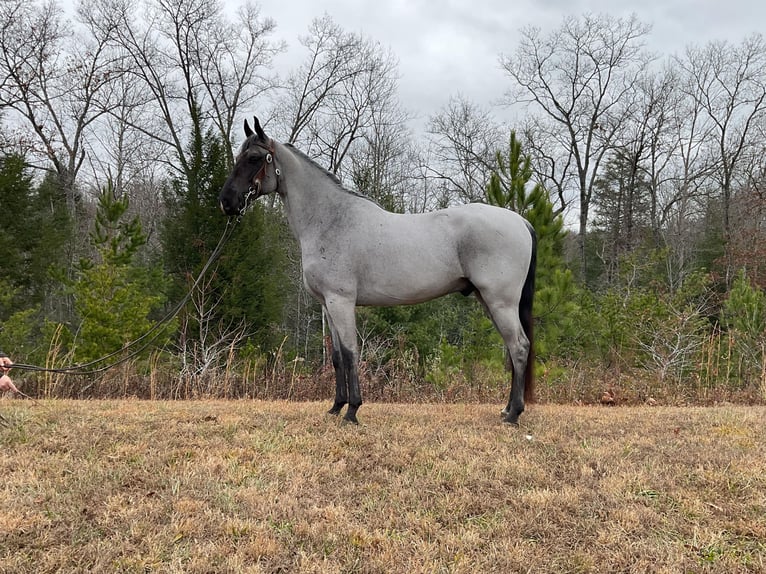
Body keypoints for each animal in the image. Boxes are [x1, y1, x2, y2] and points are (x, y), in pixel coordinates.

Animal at [219, 117, 536, 426]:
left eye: (254, 157)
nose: (227, 202)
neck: (331, 220)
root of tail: (520, 221)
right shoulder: (327, 305)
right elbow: (336, 356)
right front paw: (336, 407)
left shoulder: (341, 301)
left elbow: (350, 353)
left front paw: (352, 411)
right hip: (489, 301)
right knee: (512, 349)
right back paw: (507, 409)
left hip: (500, 301)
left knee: (519, 347)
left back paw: (514, 415)